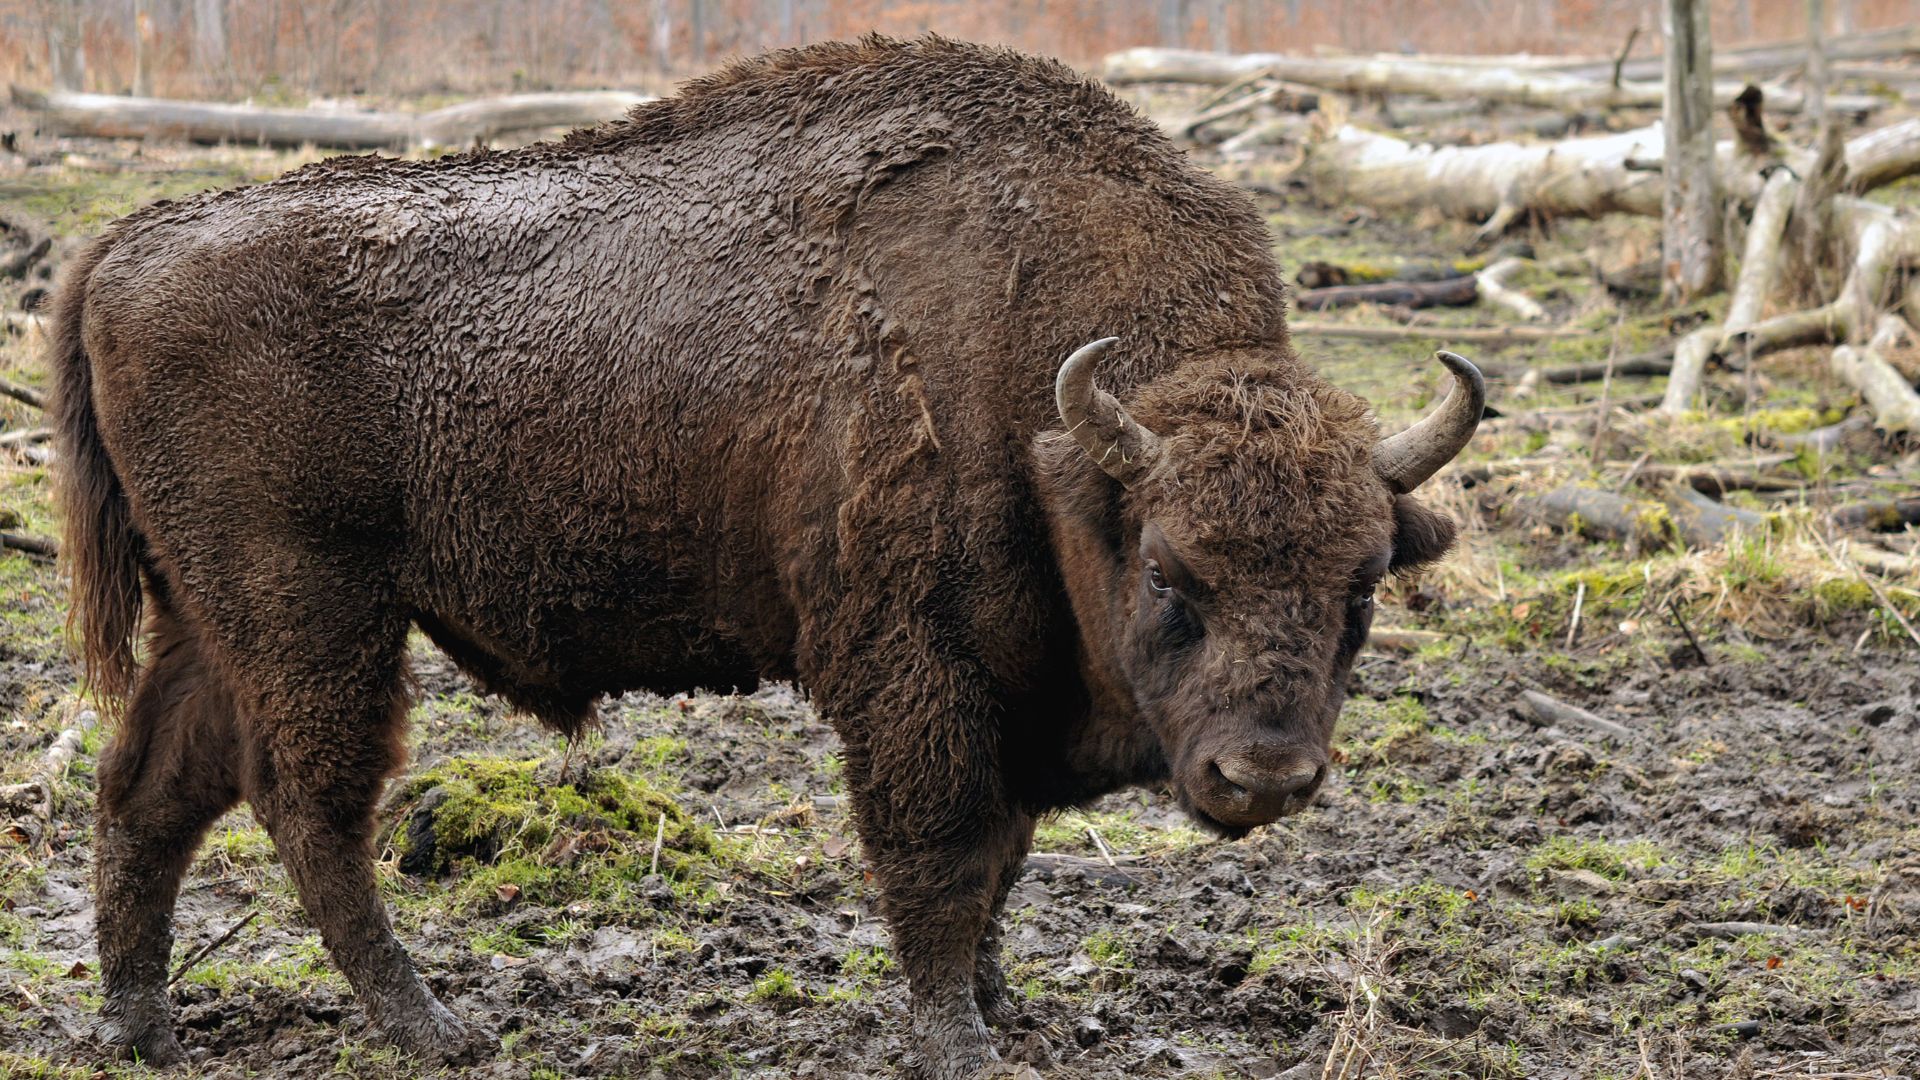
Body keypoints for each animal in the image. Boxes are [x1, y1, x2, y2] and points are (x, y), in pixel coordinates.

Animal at [53, 36, 1481, 1078]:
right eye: (1174, 573)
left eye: (1363, 585)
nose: (1267, 775)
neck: (1056, 427)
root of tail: (126, 240)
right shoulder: (915, 669)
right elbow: (943, 851)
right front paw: (956, 1041)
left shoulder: (1008, 688)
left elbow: (1002, 858)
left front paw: (1004, 1007)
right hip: (314, 614)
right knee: (306, 804)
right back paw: (434, 1027)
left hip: (211, 618)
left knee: (149, 788)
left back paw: (140, 1026)